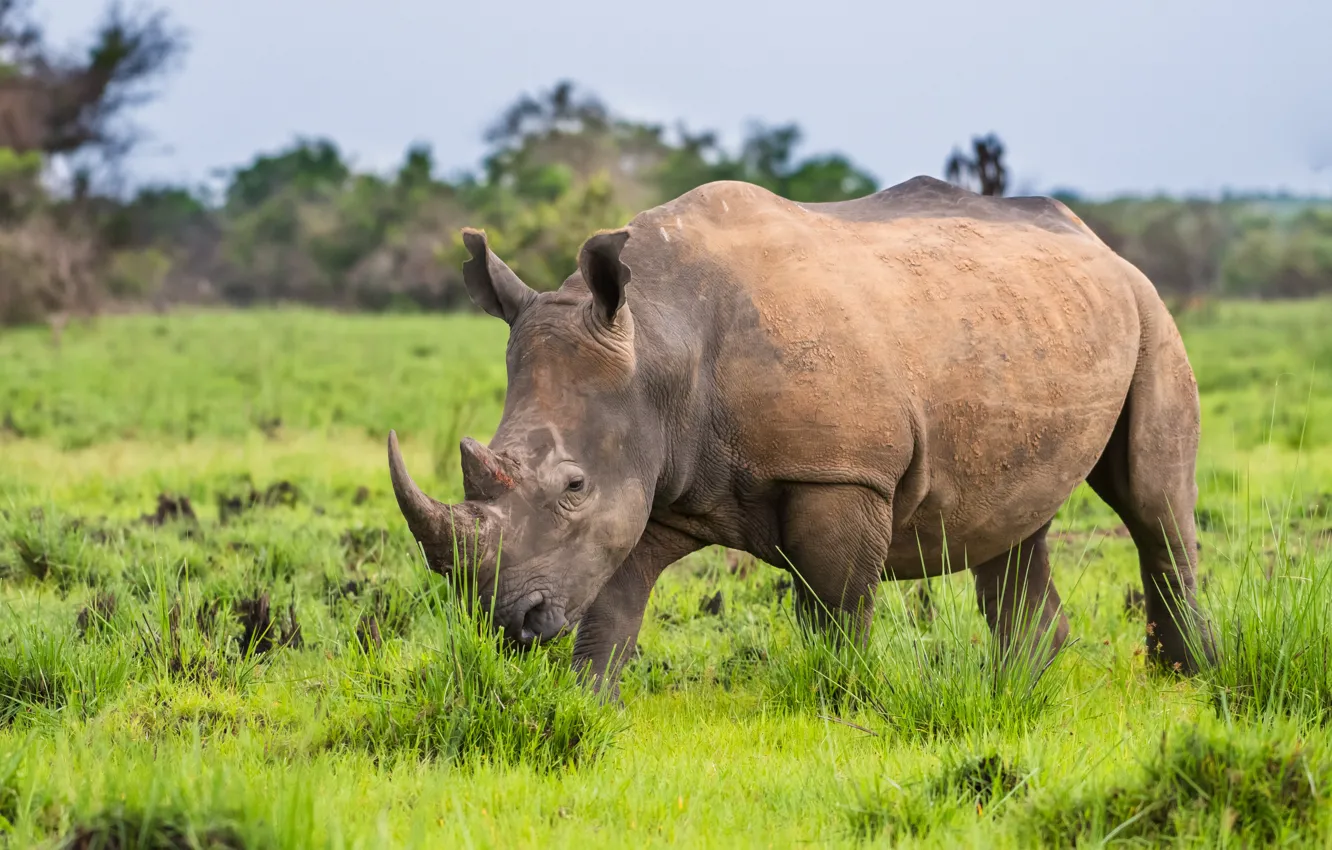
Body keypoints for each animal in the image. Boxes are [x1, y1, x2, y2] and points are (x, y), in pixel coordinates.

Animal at [387, 175, 1215, 697]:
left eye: (572, 485)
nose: (509, 624)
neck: (658, 340)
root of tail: (1097, 240)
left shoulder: (841, 472)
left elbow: (835, 609)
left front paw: (837, 702)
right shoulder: (655, 474)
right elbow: (611, 607)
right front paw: (587, 706)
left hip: (1149, 310)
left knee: (1152, 502)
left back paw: (1186, 682)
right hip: (1029, 325)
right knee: (1013, 522)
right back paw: (1017, 694)